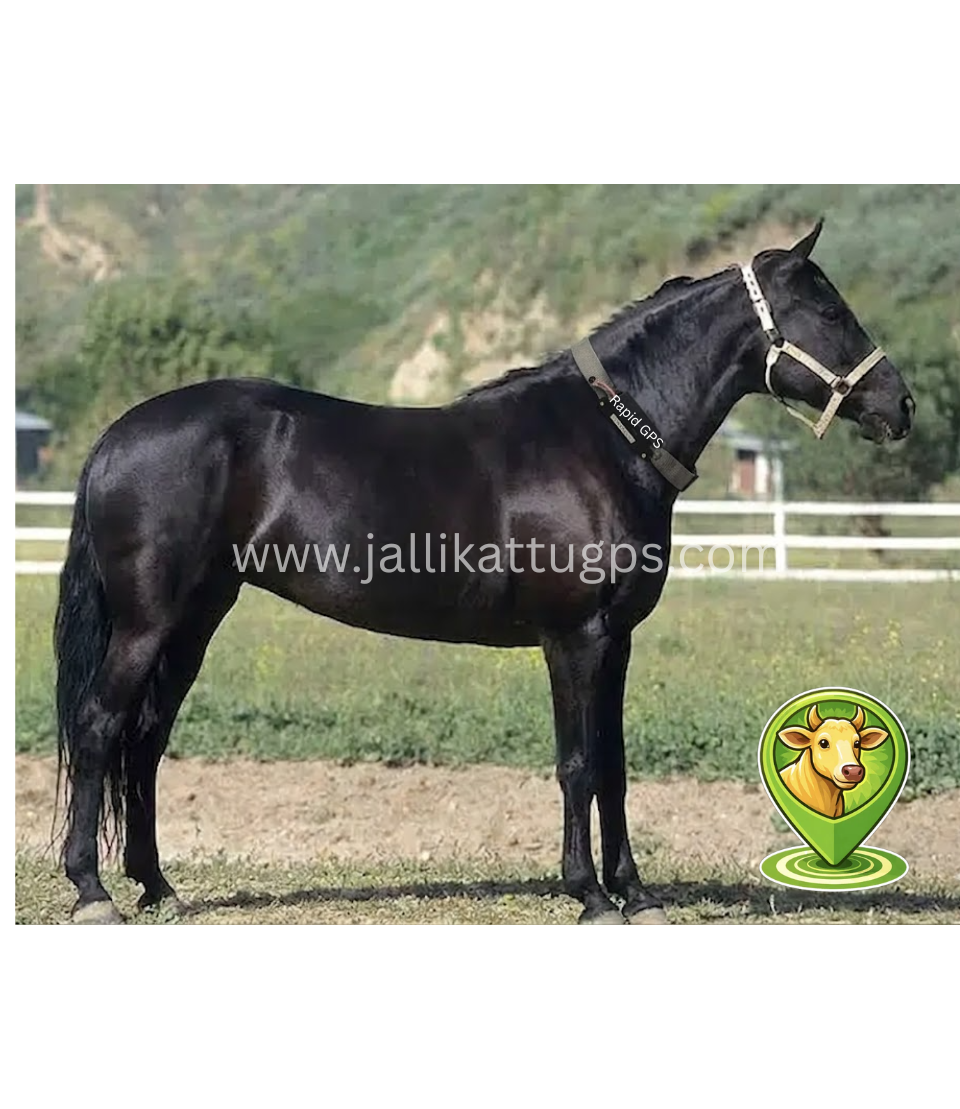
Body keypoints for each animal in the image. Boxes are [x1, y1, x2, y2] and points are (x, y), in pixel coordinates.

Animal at [53, 219, 914, 924]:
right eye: (830, 313)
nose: (900, 405)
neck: (602, 440)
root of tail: (117, 436)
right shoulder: (574, 639)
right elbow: (577, 764)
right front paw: (591, 895)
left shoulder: (617, 642)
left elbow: (615, 764)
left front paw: (637, 893)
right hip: (149, 622)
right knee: (100, 725)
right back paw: (94, 890)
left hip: (195, 619)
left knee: (145, 739)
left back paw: (158, 886)